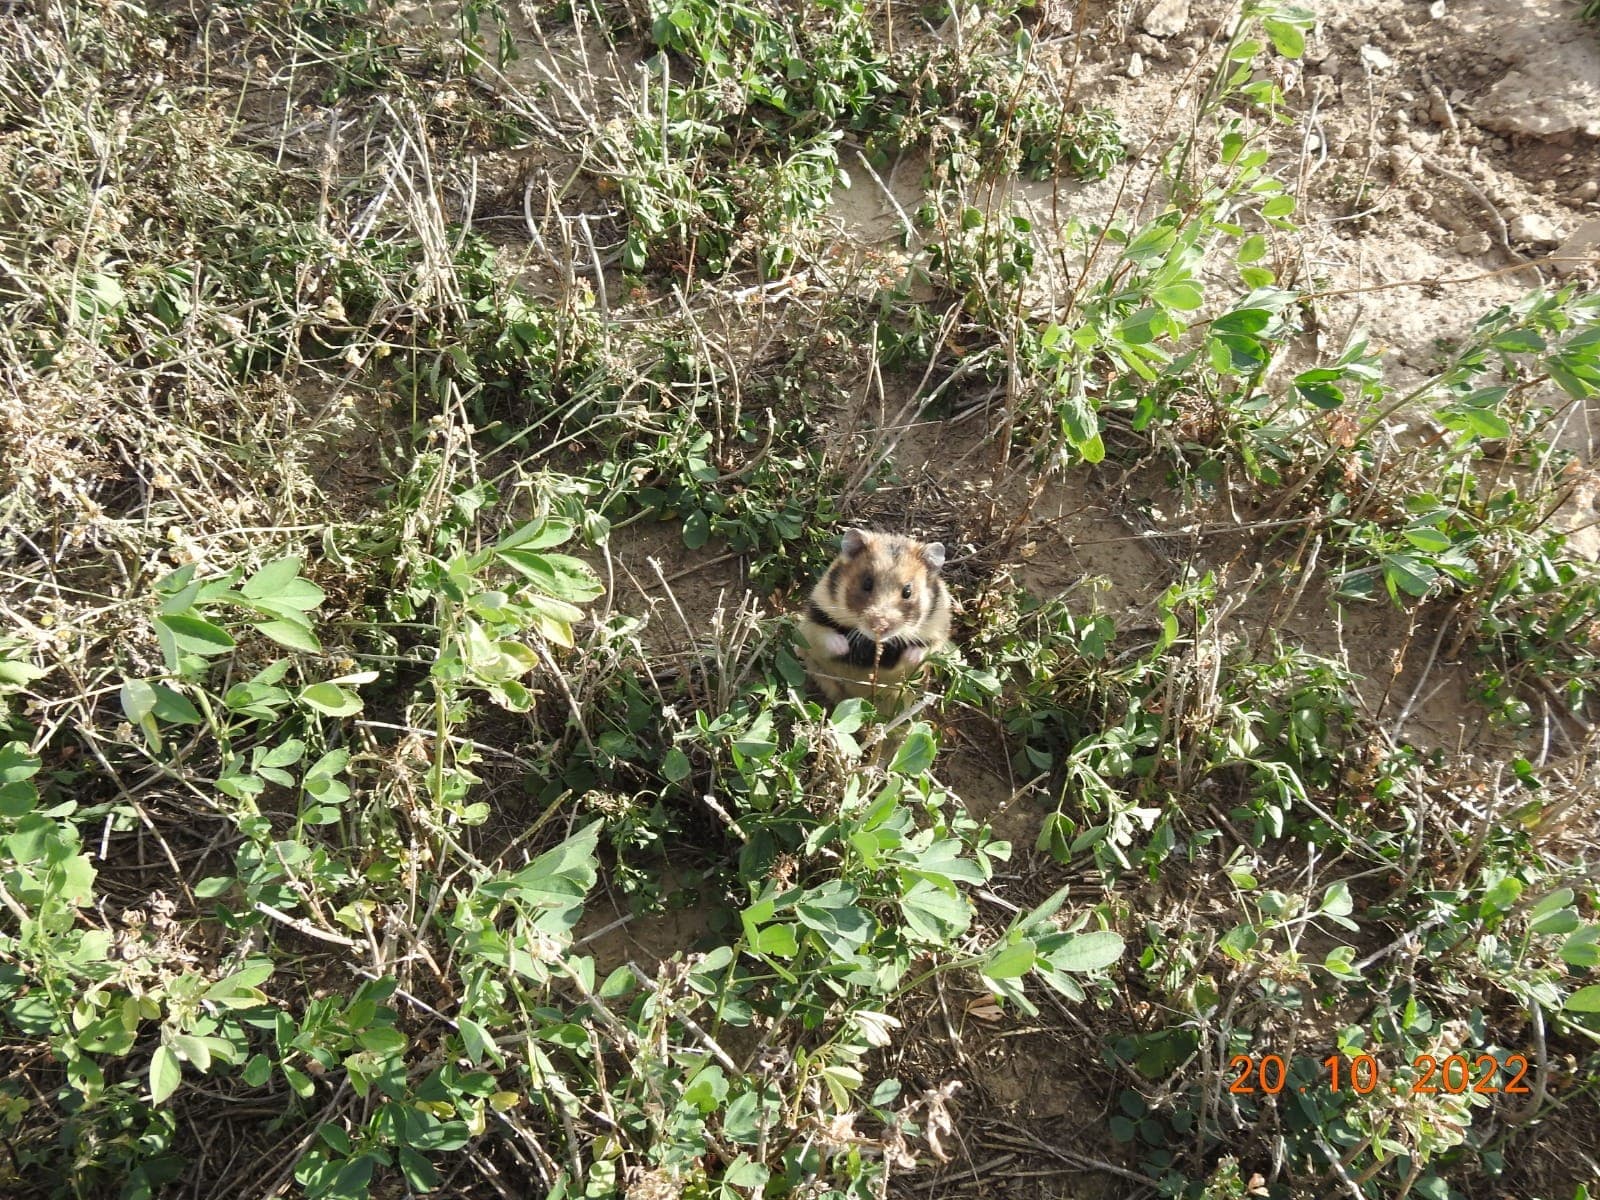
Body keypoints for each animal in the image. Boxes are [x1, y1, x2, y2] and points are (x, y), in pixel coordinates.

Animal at [797, 528, 952, 704]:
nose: (879, 627)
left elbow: (925, 649)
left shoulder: (939, 630)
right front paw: (844, 646)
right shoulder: (811, 620)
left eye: (907, 591)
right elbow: (823, 635)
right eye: (867, 583)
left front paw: (911, 655)